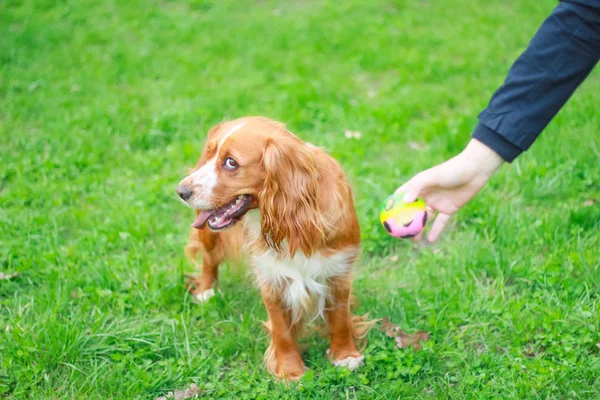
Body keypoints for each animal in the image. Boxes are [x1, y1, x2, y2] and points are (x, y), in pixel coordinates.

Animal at [176, 116, 368, 382]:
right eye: (210, 153)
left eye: (231, 162)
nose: (181, 191)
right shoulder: (271, 278)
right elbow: (282, 331)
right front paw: (290, 371)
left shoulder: (338, 270)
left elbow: (339, 318)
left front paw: (345, 355)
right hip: (208, 233)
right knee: (209, 259)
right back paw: (206, 289)